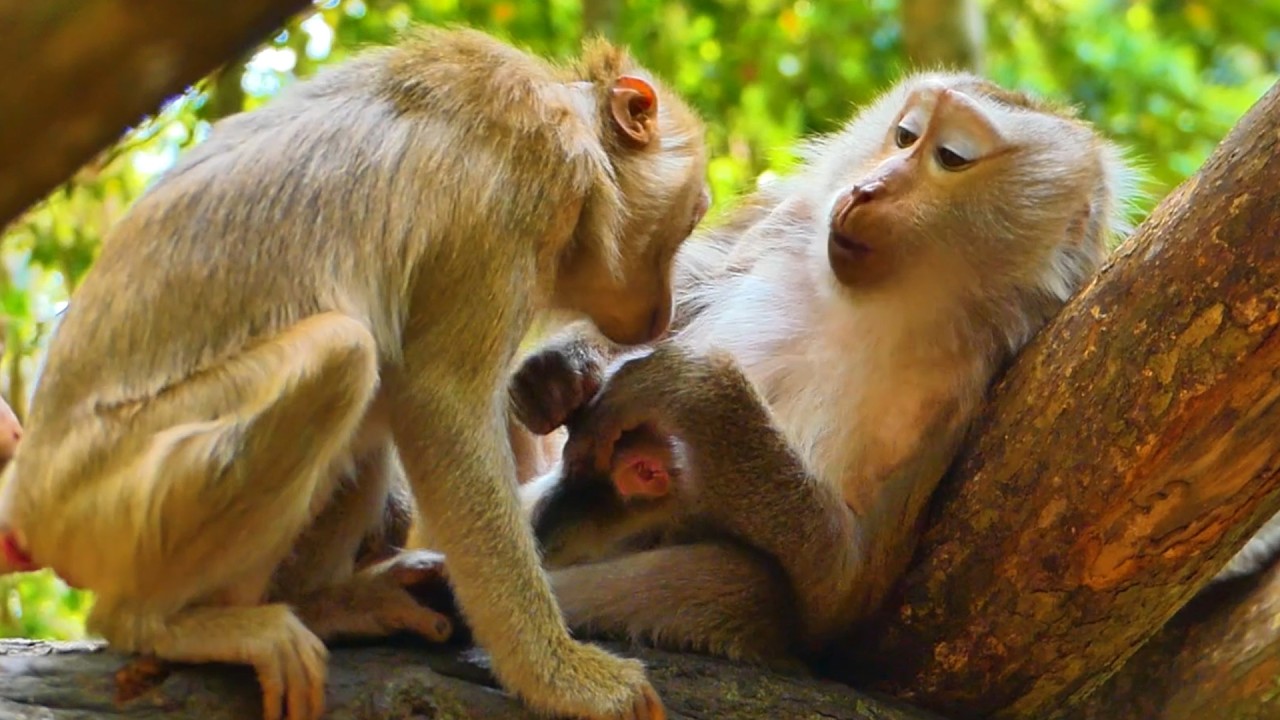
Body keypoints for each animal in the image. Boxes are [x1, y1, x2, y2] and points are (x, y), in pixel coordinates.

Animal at [0, 26, 709, 720]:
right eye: (694, 215)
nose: (665, 307)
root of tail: (28, 495)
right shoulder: (524, 194)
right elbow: (441, 403)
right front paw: (561, 678)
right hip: (106, 509)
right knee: (344, 356)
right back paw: (160, 623)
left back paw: (322, 606)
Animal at [502, 72, 1139, 668]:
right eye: (905, 135)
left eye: (951, 157)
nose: (868, 188)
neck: (886, 301)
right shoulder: (793, 220)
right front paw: (568, 364)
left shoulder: (957, 401)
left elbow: (840, 586)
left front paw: (695, 392)